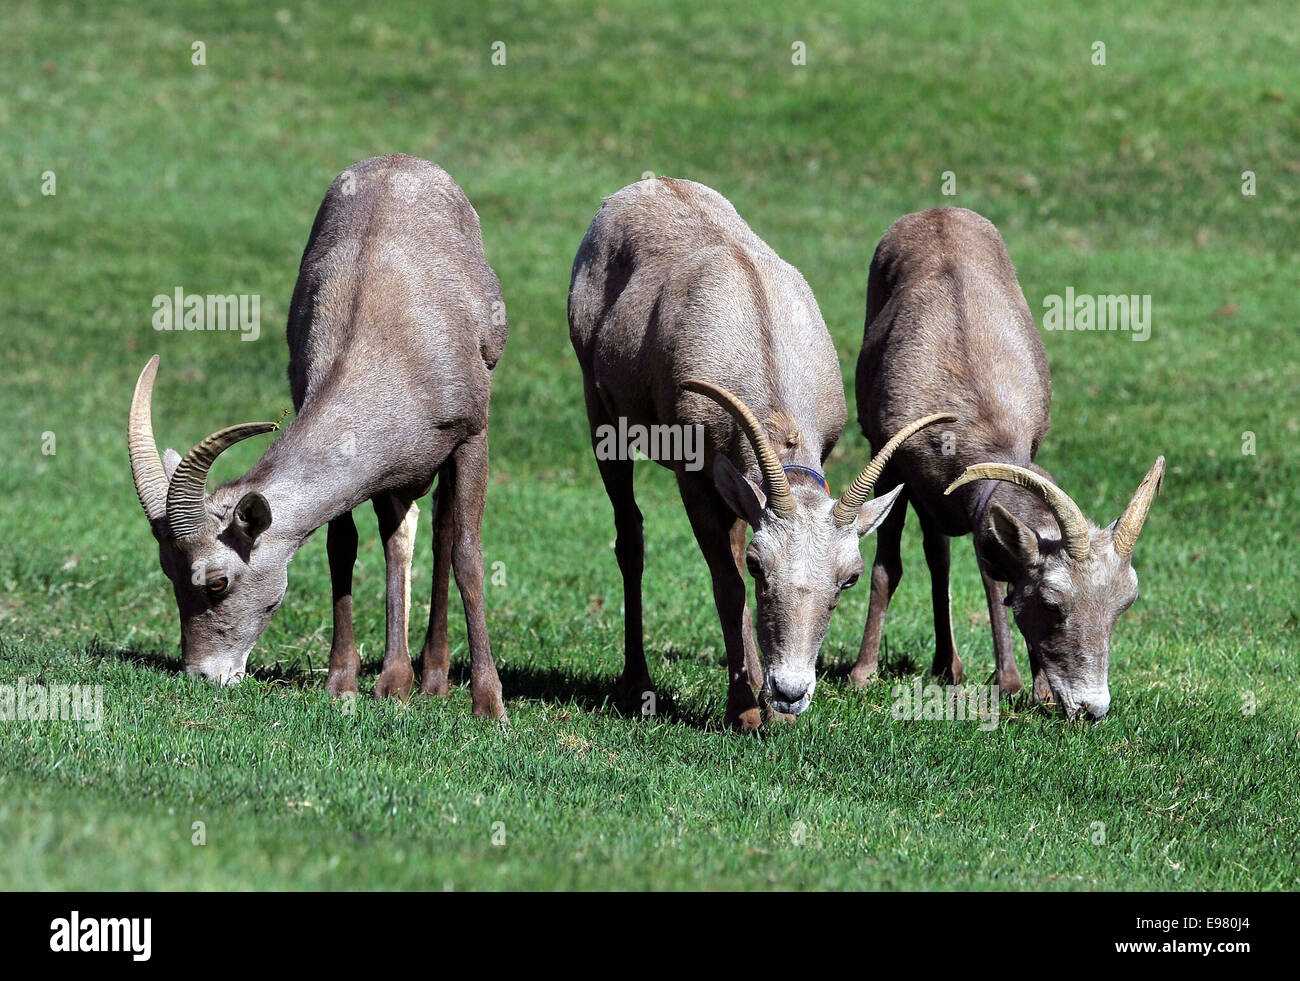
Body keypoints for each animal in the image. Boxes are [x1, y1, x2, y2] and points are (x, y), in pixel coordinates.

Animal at [124, 157, 504, 717]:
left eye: (216, 581)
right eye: (169, 573)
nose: (204, 674)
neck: (388, 353)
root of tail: (399, 161)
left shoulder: (471, 437)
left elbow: (466, 556)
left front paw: (489, 706)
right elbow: (342, 547)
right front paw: (343, 684)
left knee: (440, 531)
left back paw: (433, 680)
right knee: (400, 535)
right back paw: (396, 680)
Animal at [569, 178, 956, 727]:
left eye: (849, 579)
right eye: (760, 567)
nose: (791, 692)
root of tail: (647, 185)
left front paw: (770, 711)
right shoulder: (693, 476)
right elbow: (727, 586)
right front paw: (746, 713)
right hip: (601, 415)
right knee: (630, 536)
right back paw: (639, 684)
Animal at [852, 206, 1170, 717]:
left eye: (1123, 606)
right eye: (1053, 604)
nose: (1091, 709)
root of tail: (936, 211)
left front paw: (1034, 689)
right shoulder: (890, 465)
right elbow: (889, 570)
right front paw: (863, 676)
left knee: (938, 558)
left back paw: (948, 668)